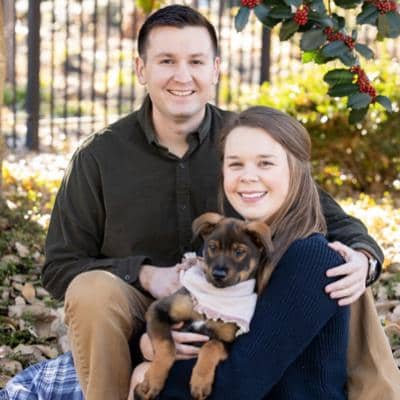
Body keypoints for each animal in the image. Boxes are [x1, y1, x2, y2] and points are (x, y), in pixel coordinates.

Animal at [134, 212, 273, 400]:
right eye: (212, 247)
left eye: (239, 252)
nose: (218, 274)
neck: (213, 299)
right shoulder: (158, 309)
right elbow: (166, 346)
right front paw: (153, 380)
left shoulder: (228, 341)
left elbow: (211, 346)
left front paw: (200, 381)